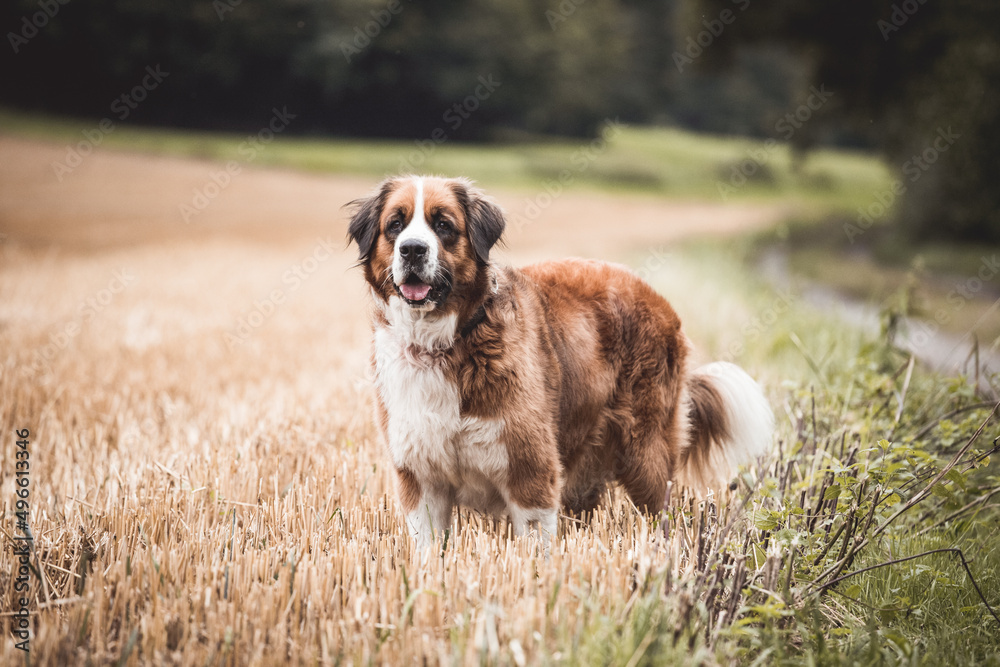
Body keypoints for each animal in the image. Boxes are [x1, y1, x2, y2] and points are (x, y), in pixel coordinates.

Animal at [348, 176, 776, 548]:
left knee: (661, 512)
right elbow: (428, 548)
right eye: (395, 225)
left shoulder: (531, 472)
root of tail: (657, 298)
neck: (445, 342)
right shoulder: (421, 478)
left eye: (443, 225)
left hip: (646, 455)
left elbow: (535, 546)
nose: (412, 249)